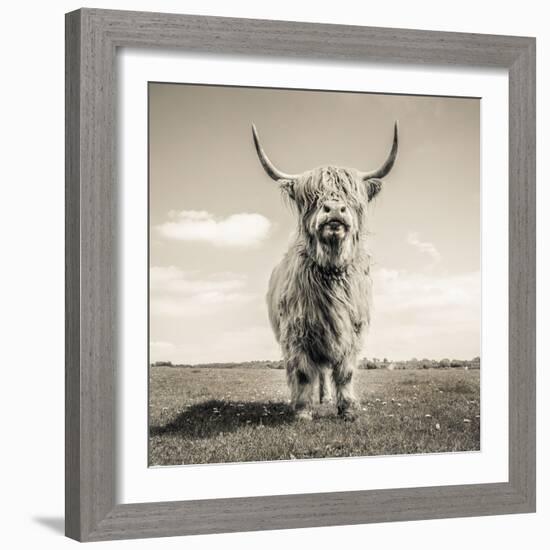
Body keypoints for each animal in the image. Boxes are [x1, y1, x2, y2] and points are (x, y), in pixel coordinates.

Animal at [253, 123, 402, 420]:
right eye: (311, 197)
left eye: (352, 196)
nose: (334, 209)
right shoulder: (296, 333)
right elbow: (301, 373)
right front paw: (302, 411)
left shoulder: (352, 332)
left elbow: (345, 373)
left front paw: (348, 409)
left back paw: (325, 397)